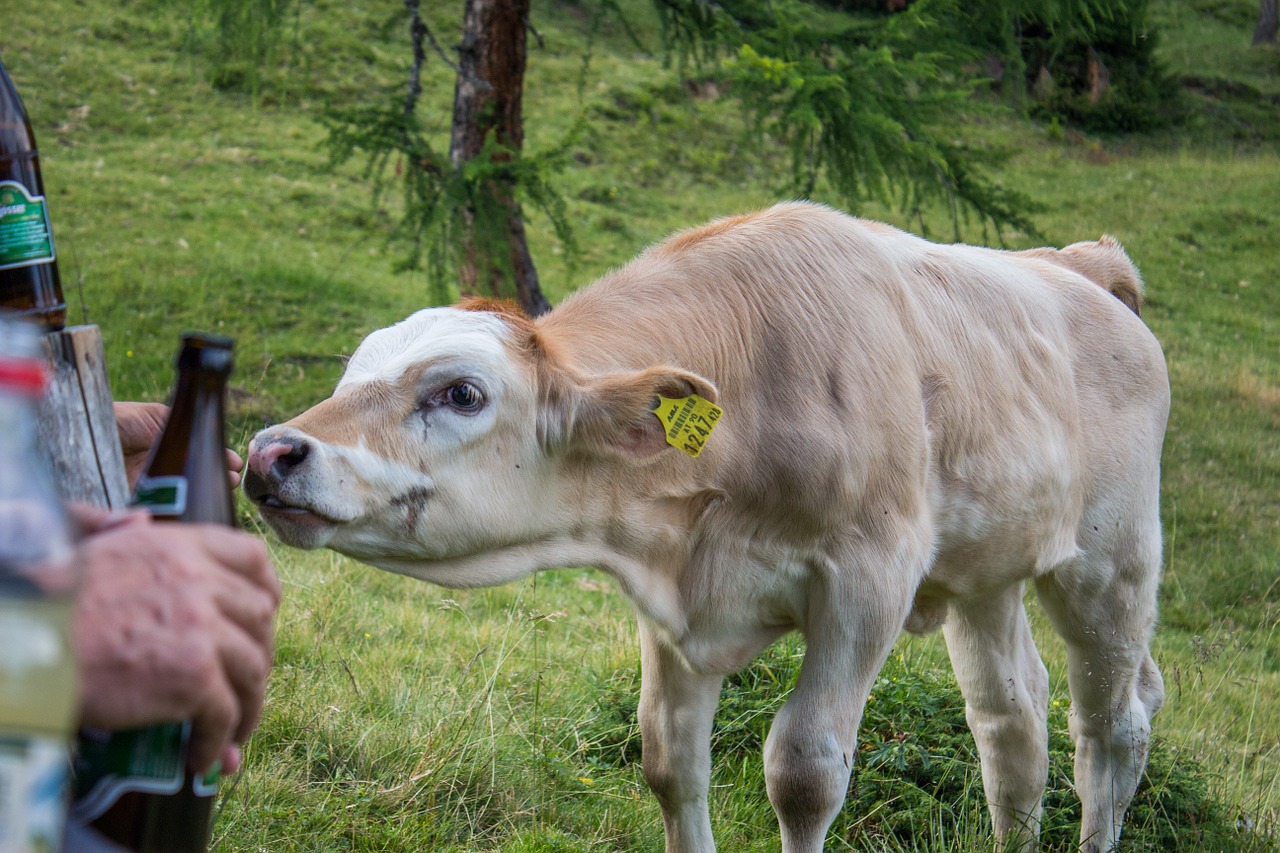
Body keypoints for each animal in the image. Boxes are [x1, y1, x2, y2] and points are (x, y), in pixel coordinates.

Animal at [241, 201, 1172, 850]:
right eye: (353, 371)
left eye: (462, 391)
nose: (270, 451)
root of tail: (1075, 262)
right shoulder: (672, 603)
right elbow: (669, 760)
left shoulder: (868, 581)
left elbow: (803, 770)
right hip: (985, 570)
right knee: (1013, 721)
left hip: (1112, 560)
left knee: (1113, 722)